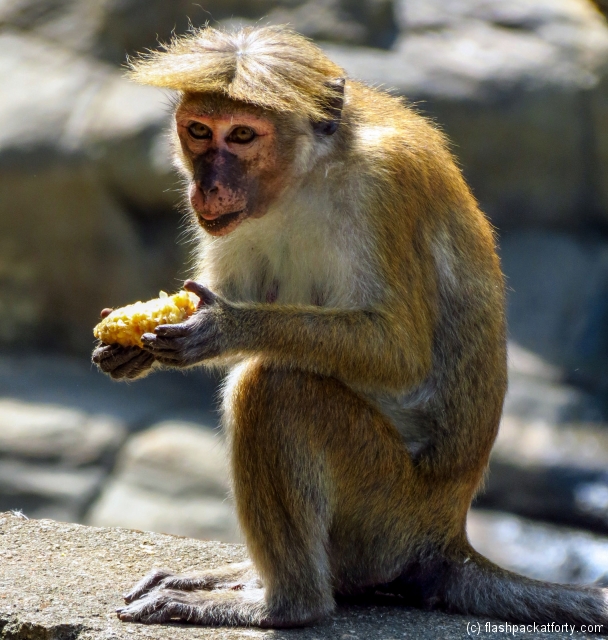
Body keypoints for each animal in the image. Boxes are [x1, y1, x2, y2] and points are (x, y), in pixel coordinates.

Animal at [92, 25, 608, 628]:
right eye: (199, 131)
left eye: (241, 135)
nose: (207, 187)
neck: (309, 173)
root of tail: (446, 535)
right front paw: (129, 346)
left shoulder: (386, 184)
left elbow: (400, 350)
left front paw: (225, 326)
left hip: (386, 513)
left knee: (276, 389)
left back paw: (285, 603)